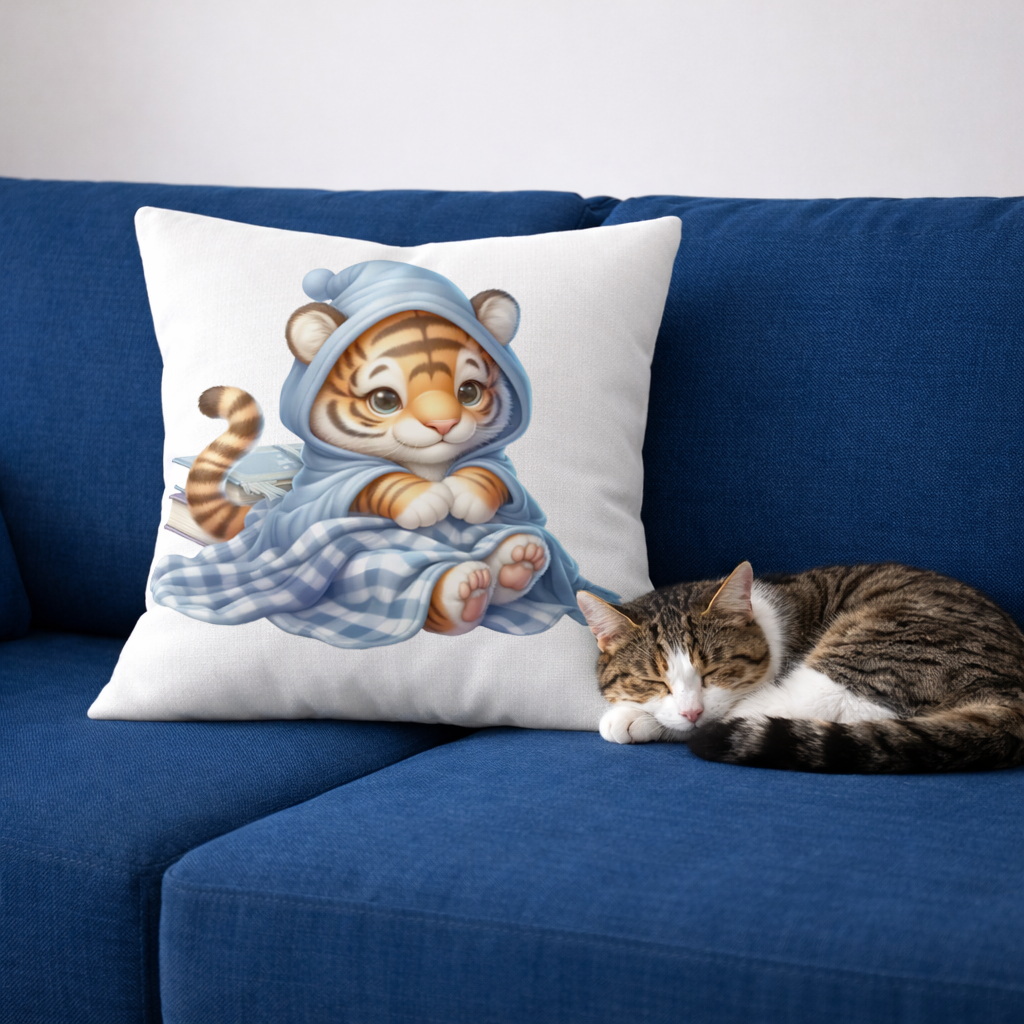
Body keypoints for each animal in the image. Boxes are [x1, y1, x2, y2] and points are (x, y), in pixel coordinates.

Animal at [184, 289, 548, 637]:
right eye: (385, 400)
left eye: (469, 392)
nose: (443, 424)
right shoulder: (332, 480)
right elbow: (377, 480)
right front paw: (426, 499)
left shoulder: (495, 461)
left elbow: (491, 470)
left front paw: (467, 494)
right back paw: (467, 591)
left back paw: (521, 560)